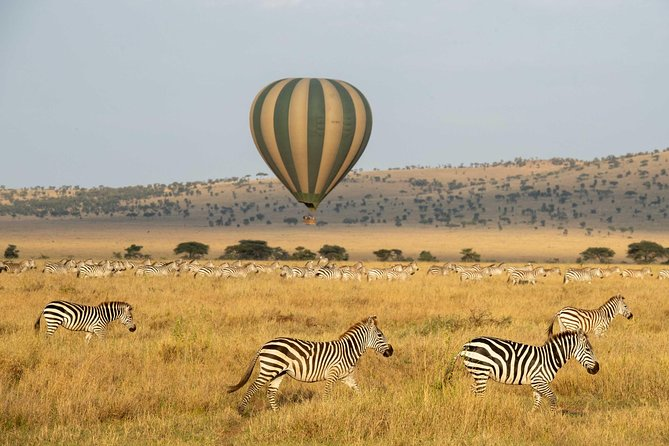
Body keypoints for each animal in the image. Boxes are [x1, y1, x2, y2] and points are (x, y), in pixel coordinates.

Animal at [227, 316, 394, 412]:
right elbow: (327, 394)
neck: (348, 351)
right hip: (270, 368)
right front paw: (326, 410)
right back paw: (241, 410)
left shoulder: (346, 376)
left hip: (279, 372)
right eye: (380, 335)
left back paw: (277, 413)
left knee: (271, 391)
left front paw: (364, 403)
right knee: (253, 386)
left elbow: (358, 390)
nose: (391, 351)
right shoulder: (333, 374)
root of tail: (264, 345)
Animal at [456, 330, 596, 412]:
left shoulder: (536, 383)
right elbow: (553, 398)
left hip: (478, 373)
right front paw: (552, 418)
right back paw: (480, 410)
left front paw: (532, 418)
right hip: (481, 371)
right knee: (479, 395)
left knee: (473, 391)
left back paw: (471, 407)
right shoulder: (539, 381)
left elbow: (537, 401)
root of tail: (467, 345)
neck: (550, 358)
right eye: (588, 349)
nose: (597, 369)